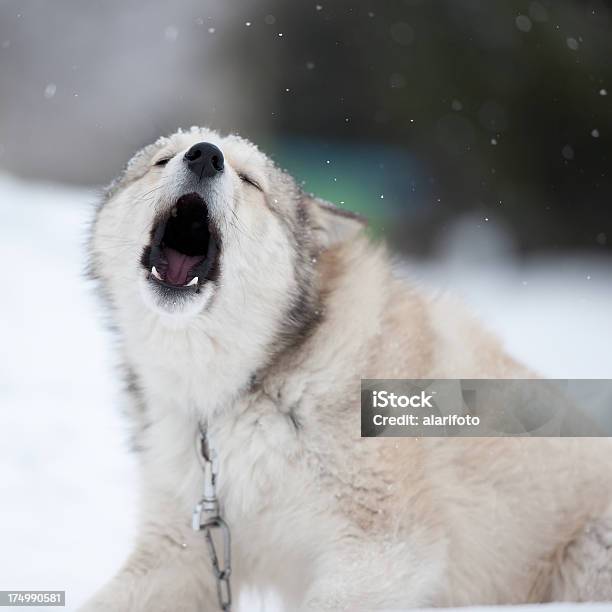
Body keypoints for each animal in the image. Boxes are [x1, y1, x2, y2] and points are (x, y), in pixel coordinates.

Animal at [81, 126, 612, 608]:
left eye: (249, 180)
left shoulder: (385, 549)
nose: (205, 155)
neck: (247, 391)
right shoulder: (182, 552)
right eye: (162, 159)